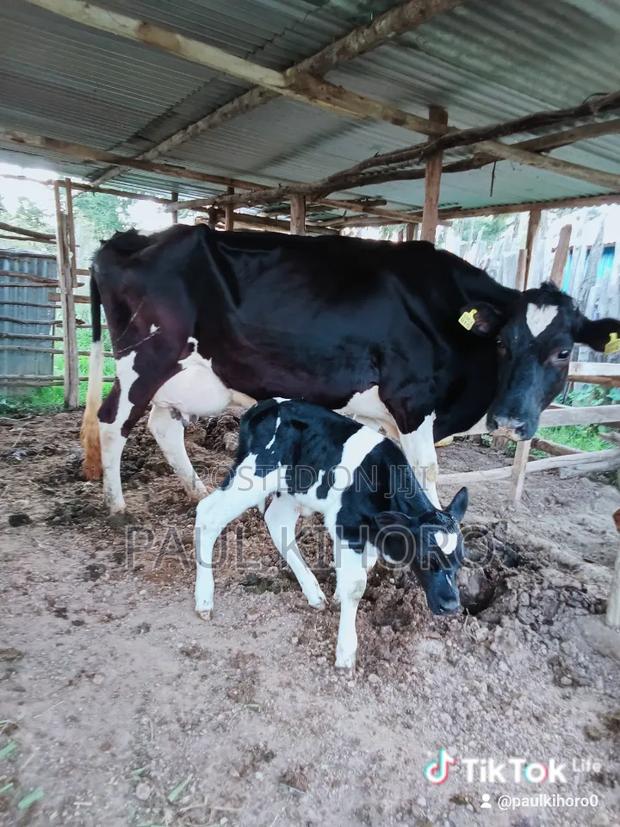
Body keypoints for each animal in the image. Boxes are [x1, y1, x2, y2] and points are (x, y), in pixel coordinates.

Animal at [81, 225, 620, 517]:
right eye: (505, 343)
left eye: (563, 352)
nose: (509, 420)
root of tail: (129, 239)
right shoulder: (412, 402)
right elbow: (425, 474)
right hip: (144, 358)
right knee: (113, 421)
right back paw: (117, 506)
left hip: (182, 375)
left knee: (162, 424)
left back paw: (195, 489)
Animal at [194, 398, 469, 668]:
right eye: (425, 558)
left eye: (459, 562)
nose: (451, 605)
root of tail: (265, 406)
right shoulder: (347, 524)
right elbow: (356, 586)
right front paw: (346, 651)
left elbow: (360, 567)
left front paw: (337, 595)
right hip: (254, 474)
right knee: (208, 514)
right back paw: (204, 599)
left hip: (292, 489)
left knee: (277, 521)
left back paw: (313, 592)